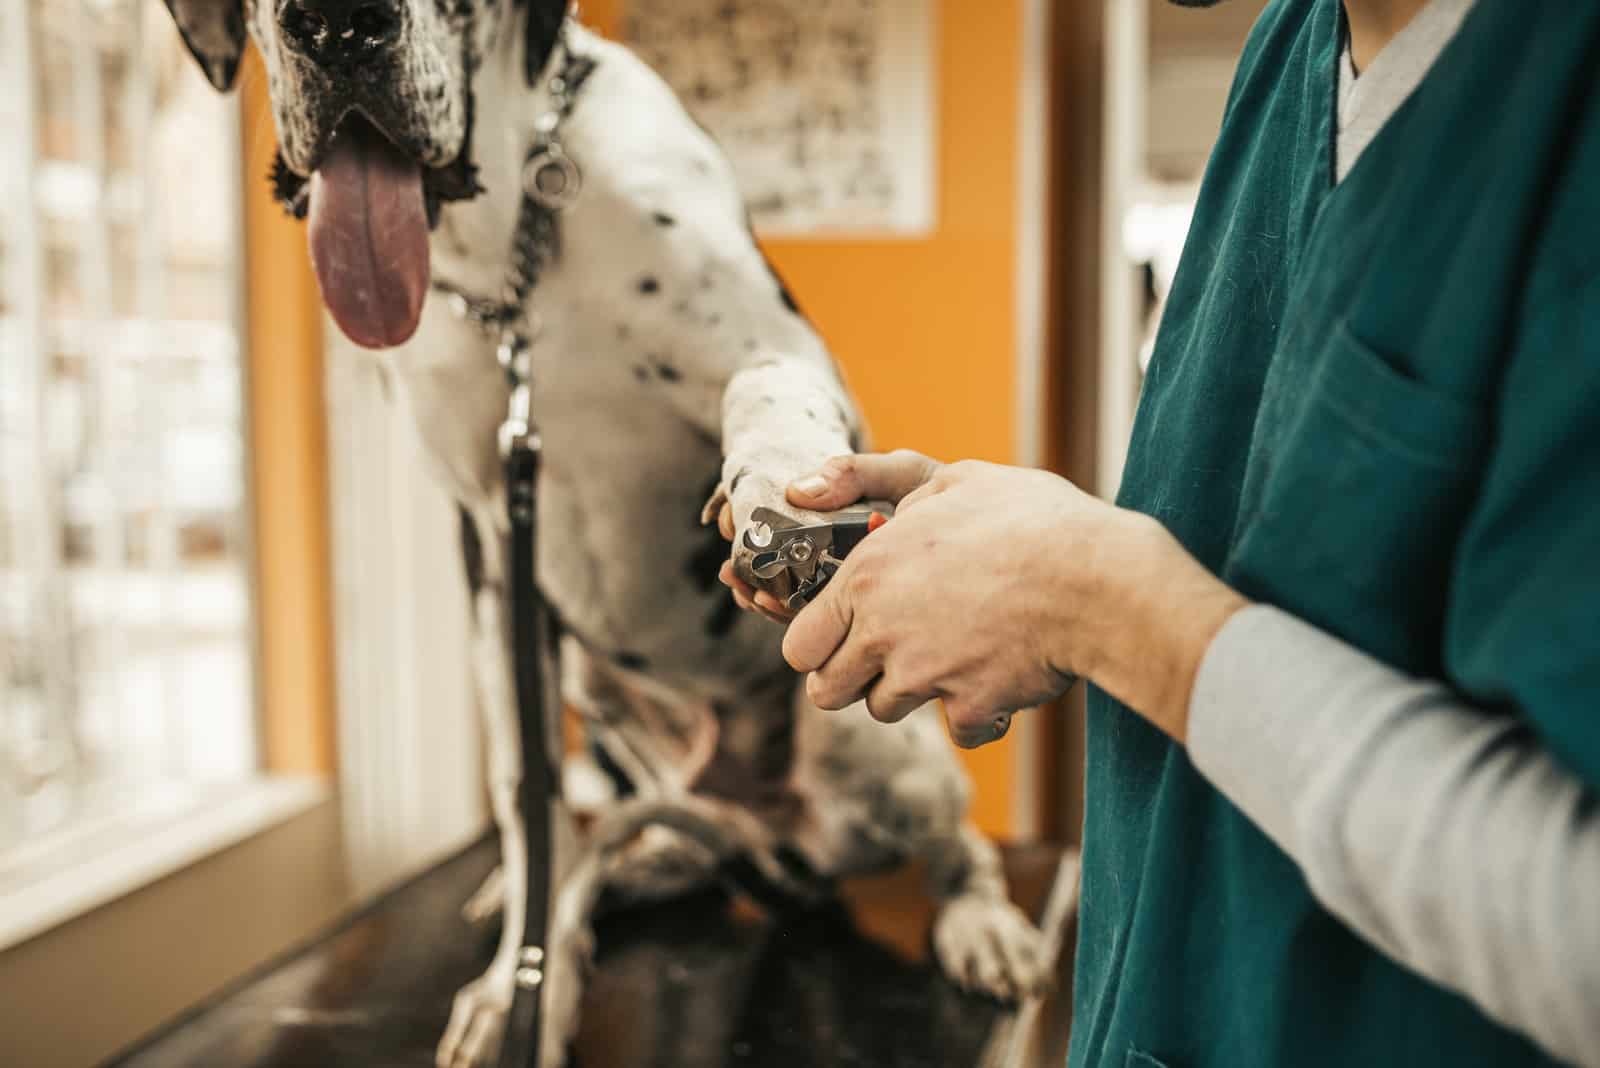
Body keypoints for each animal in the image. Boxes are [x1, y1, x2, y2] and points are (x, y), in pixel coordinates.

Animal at [162, 4, 1049, 1061]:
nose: (341, 27)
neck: (515, 250)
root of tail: (764, 839)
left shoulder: (786, 354)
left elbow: (768, 391)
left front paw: (777, 493)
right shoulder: (492, 549)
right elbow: (526, 797)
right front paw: (522, 984)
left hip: (881, 765)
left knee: (957, 847)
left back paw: (983, 923)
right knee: (606, 849)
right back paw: (580, 894)